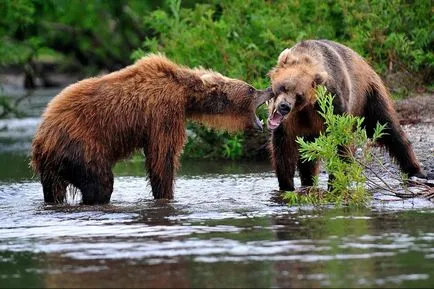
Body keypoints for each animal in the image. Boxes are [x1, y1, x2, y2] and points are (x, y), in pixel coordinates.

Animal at [32, 53, 272, 202]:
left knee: (53, 191)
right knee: (100, 183)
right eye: (252, 89)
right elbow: (162, 157)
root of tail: (41, 138)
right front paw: (166, 194)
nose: (269, 88)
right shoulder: (163, 111)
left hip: (52, 169)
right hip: (81, 146)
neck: (186, 95)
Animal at [266, 38, 426, 191]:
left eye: (299, 95)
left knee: (387, 128)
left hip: (368, 96)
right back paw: (308, 182)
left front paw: (335, 184)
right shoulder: (291, 122)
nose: (285, 107)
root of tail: (363, 60)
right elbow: (284, 148)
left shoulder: (332, 104)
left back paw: (415, 170)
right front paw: (286, 186)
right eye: (284, 86)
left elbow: (341, 143)